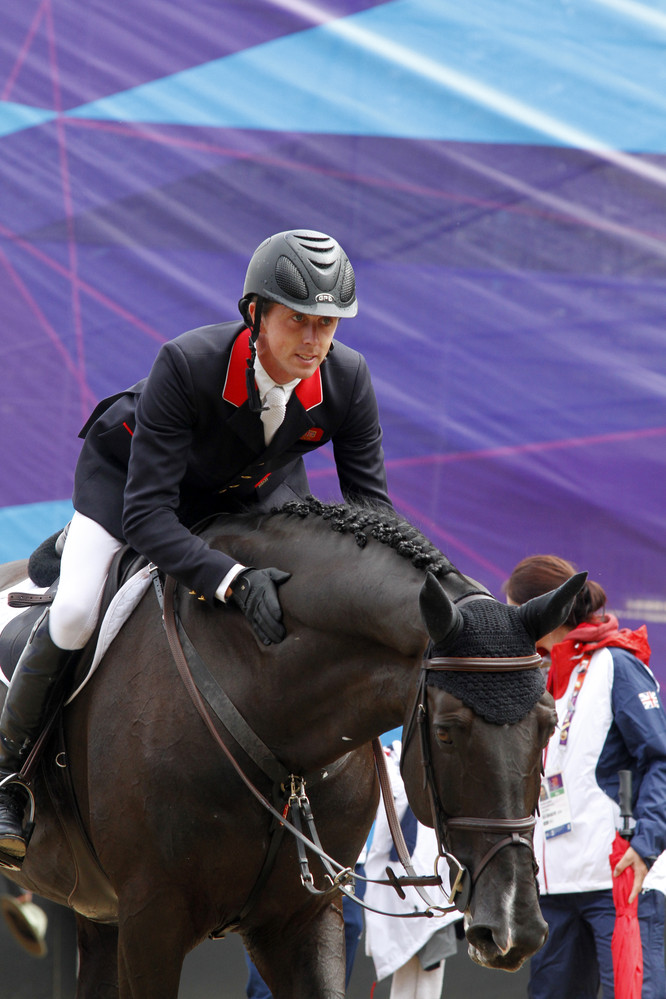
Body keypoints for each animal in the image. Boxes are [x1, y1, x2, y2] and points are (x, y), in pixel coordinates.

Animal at [0, 504, 580, 996]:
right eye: (445, 732)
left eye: (548, 725)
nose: (514, 926)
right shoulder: (151, 918)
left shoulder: (302, 920)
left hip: (97, 910)